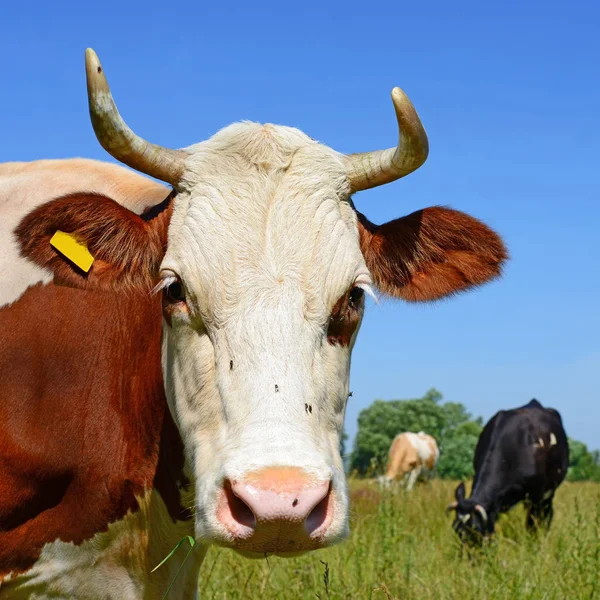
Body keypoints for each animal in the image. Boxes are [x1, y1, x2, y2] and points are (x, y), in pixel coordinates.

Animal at [448, 398, 568, 544]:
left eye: (476, 529)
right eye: (456, 529)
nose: (467, 551)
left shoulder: (537, 494)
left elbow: (532, 523)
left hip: (549, 492)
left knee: (546, 515)